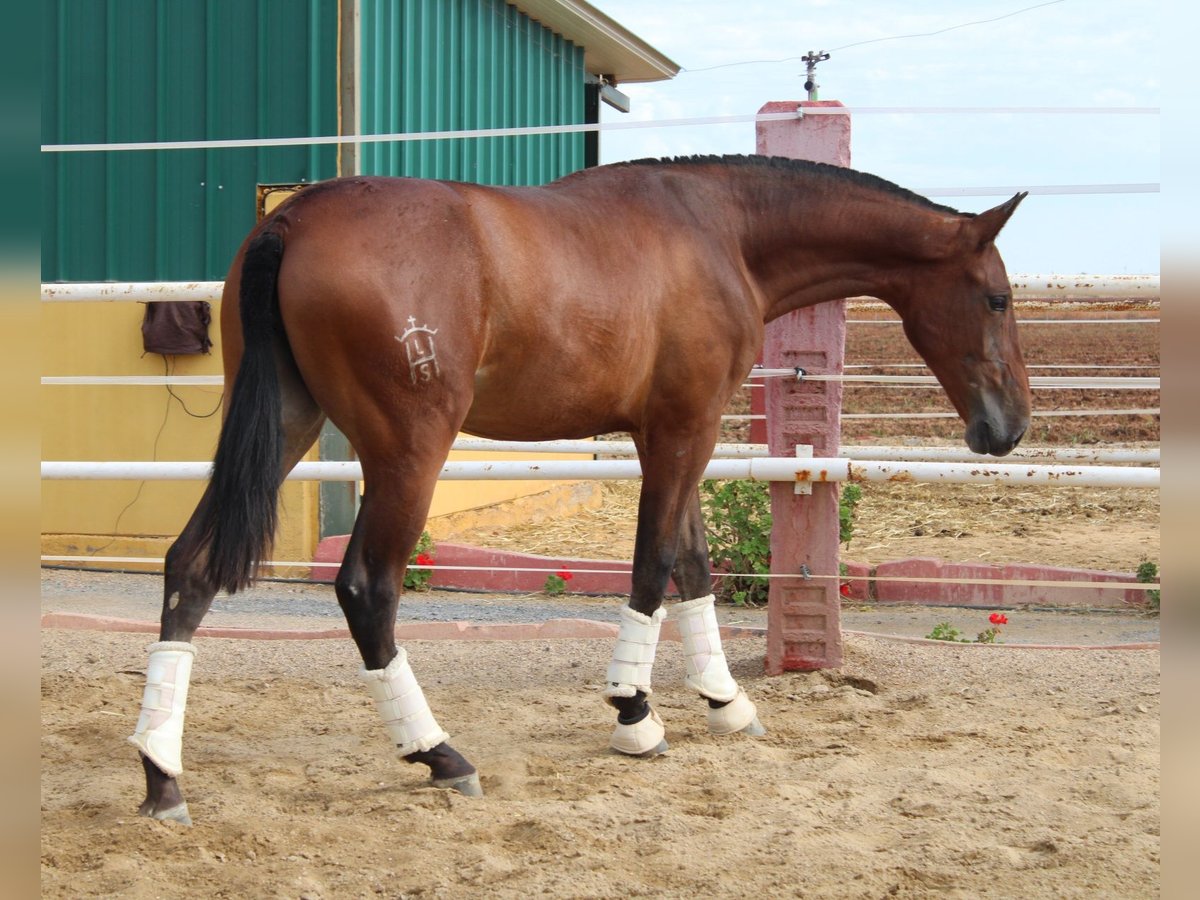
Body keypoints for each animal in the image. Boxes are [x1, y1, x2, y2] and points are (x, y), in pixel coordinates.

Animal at [129, 153, 1032, 825]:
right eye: (996, 296)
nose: (1010, 427)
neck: (719, 231)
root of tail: (293, 219)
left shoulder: (674, 431)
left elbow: (693, 567)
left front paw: (725, 702)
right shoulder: (683, 432)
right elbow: (653, 566)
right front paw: (635, 714)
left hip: (285, 423)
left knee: (191, 568)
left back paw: (161, 773)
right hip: (409, 452)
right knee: (366, 588)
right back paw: (438, 754)